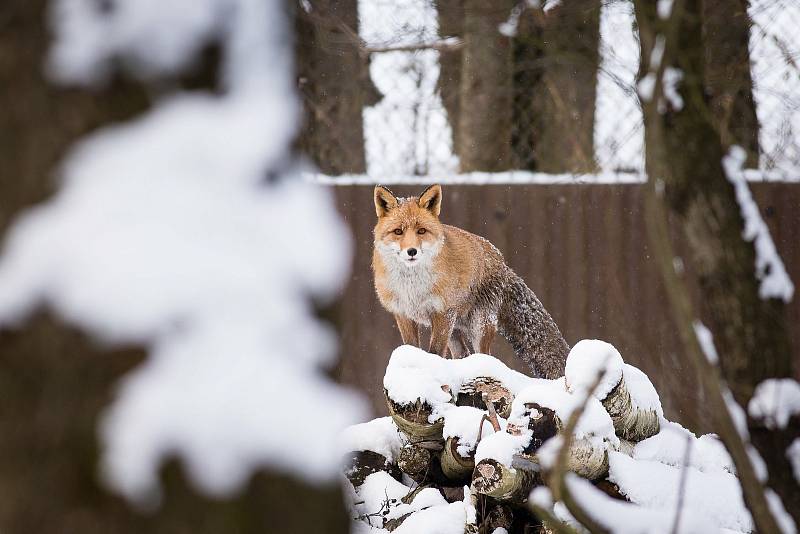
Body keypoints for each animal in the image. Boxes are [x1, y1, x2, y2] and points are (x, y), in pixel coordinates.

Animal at [374, 184, 568, 382]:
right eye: (398, 231)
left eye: (421, 231)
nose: (411, 251)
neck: (412, 287)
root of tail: (501, 260)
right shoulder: (403, 313)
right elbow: (411, 347)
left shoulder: (443, 313)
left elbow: (435, 351)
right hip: (455, 330)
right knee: (463, 354)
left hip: (479, 325)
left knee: (484, 355)